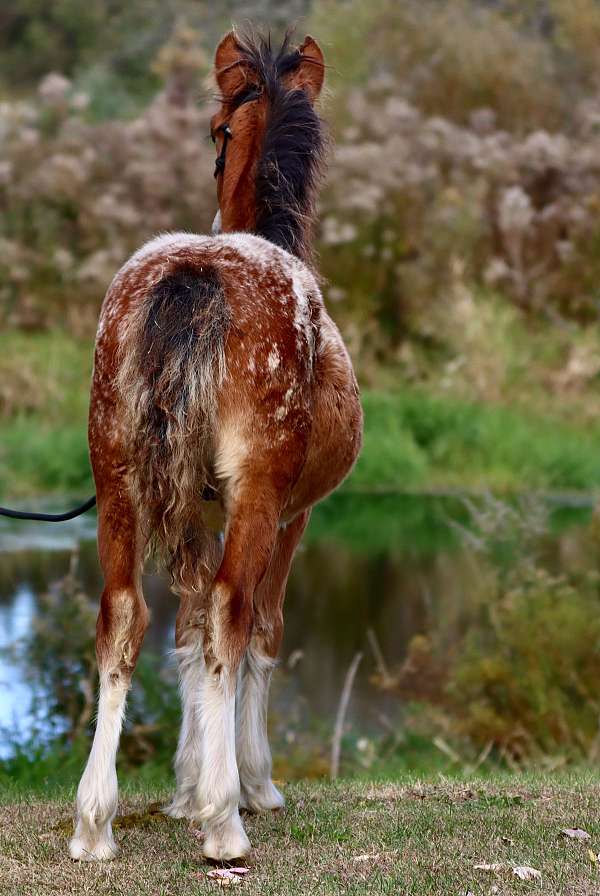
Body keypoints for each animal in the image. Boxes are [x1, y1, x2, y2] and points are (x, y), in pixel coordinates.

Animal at [70, 31, 360, 864]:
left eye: (215, 131)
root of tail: (195, 271)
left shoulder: (194, 514)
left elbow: (187, 636)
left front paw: (182, 787)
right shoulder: (292, 514)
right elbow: (255, 632)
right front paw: (243, 785)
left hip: (119, 481)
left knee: (122, 617)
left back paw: (93, 824)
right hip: (258, 495)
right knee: (237, 614)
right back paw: (228, 823)